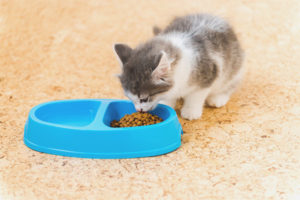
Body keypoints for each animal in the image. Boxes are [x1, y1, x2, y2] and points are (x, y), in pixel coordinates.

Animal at [112, 14, 244, 120]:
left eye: (144, 99)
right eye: (129, 97)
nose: (139, 110)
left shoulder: (208, 74)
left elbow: (195, 96)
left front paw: (190, 112)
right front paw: (167, 103)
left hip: (235, 69)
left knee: (229, 84)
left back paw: (217, 98)